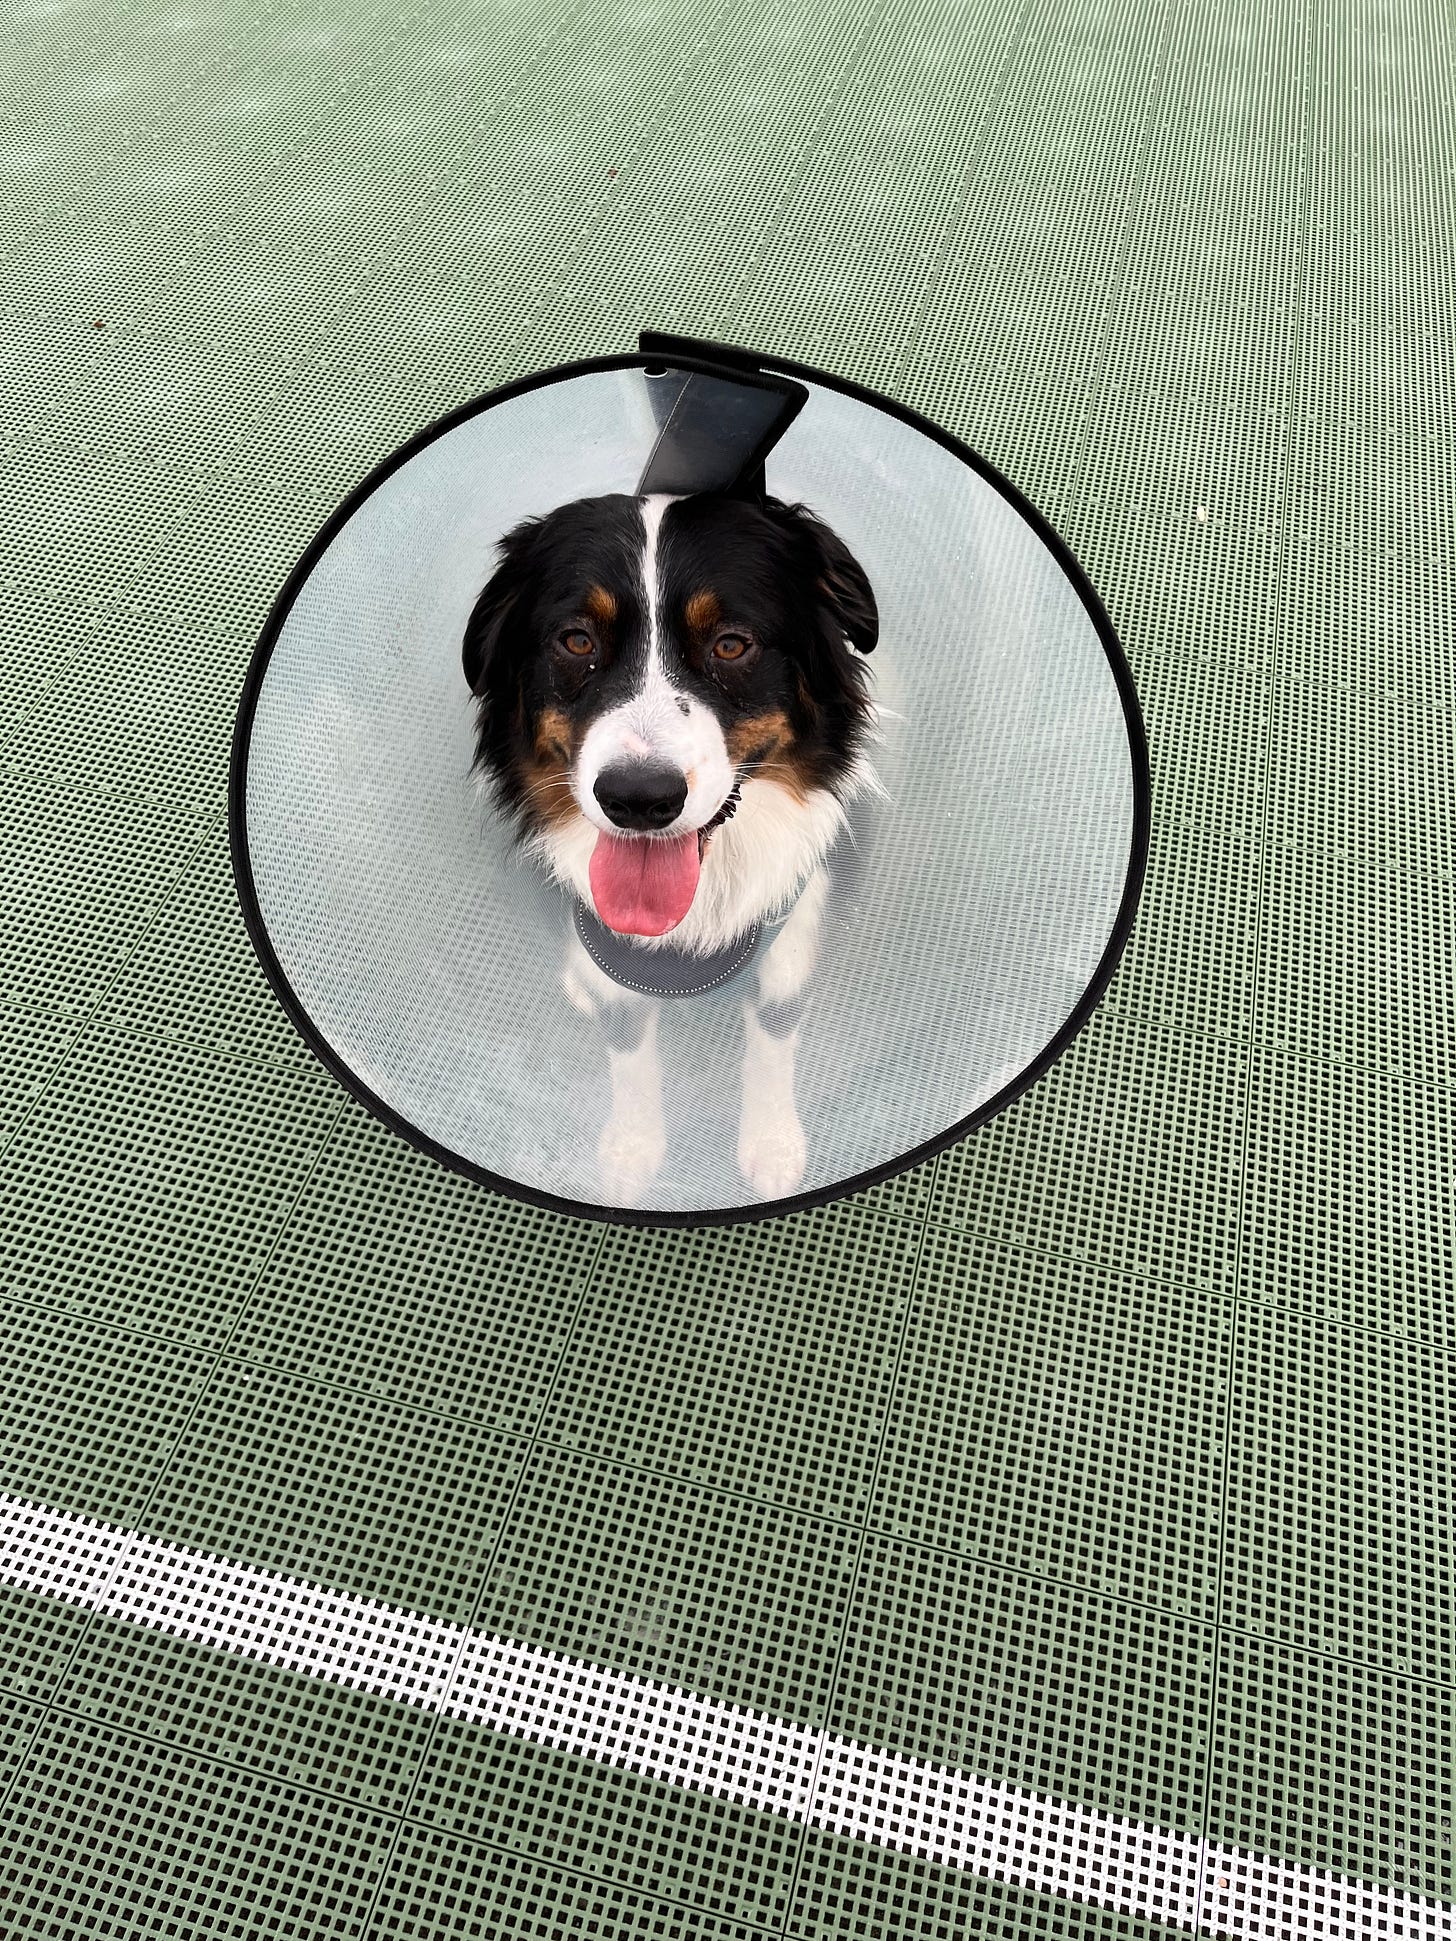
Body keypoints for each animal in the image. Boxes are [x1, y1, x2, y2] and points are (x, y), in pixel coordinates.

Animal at [467, 489, 877, 1195]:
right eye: (576, 640)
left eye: (732, 644)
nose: (638, 799)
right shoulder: (611, 950)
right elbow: (627, 1038)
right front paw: (632, 1151)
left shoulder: (792, 927)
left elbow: (775, 1028)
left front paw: (771, 1145)